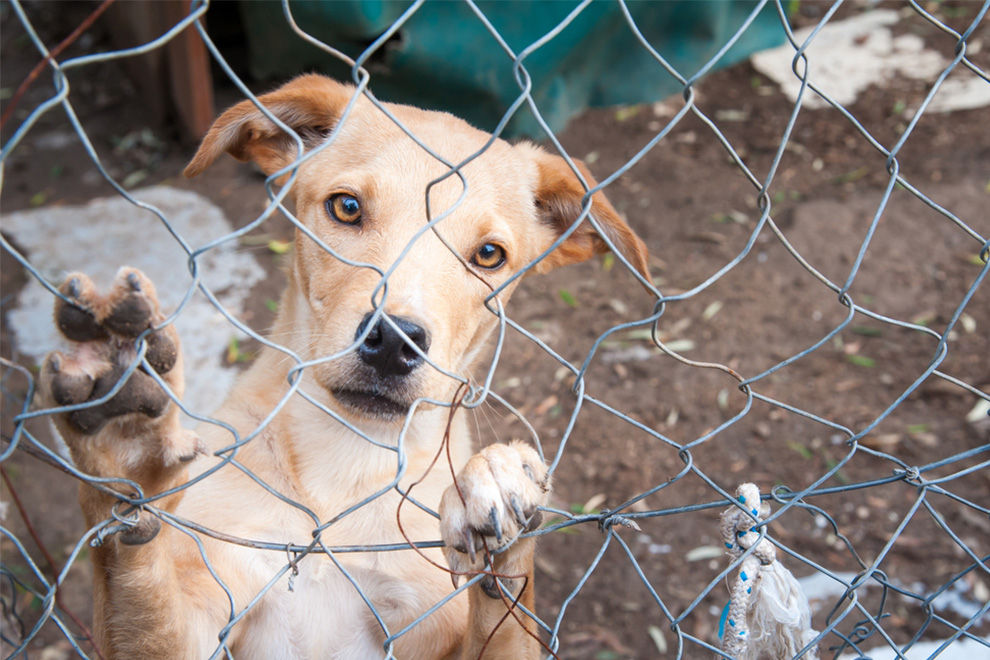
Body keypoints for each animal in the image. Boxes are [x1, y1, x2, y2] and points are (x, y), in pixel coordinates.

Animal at [42, 73, 652, 660]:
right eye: (347, 207)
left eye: (489, 255)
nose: (393, 342)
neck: (345, 459)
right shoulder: (203, 613)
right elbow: (142, 585)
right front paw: (127, 452)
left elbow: (508, 621)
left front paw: (499, 488)